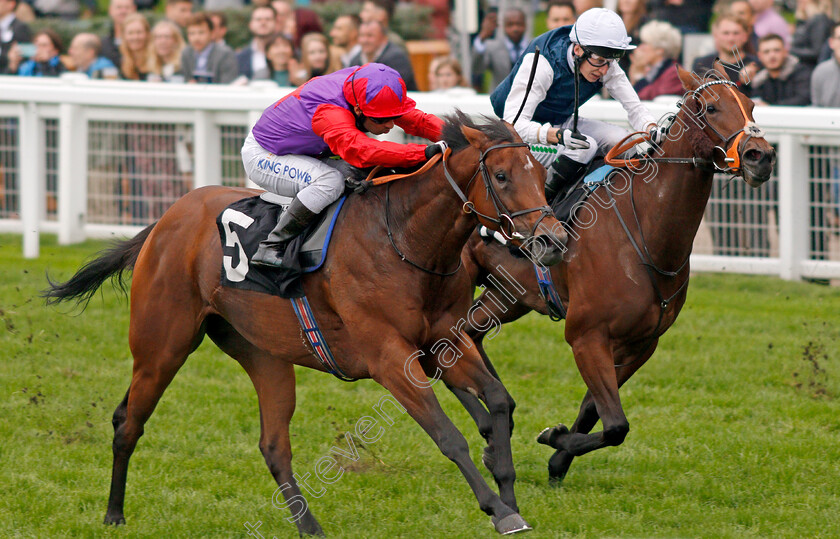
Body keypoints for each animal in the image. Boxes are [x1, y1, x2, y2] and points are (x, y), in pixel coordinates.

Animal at [41, 113, 564, 536]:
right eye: (501, 175)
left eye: (542, 175)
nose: (553, 240)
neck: (407, 240)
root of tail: (165, 221)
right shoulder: (389, 358)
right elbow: (448, 435)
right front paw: (499, 510)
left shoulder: (442, 341)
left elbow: (499, 402)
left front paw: (508, 491)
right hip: (162, 346)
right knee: (128, 421)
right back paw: (113, 514)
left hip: (263, 355)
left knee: (273, 445)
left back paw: (309, 525)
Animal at [450, 65, 776, 484]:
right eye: (710, 107)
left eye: (750, 105)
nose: (760, 156)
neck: (645, 234)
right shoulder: (586, 336)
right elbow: (616, 424)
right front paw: (553, 438)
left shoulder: (641, 344)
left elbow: (597, 413)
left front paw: (558, 456)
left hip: (509, 295)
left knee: (470, 334)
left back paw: (499, 419)